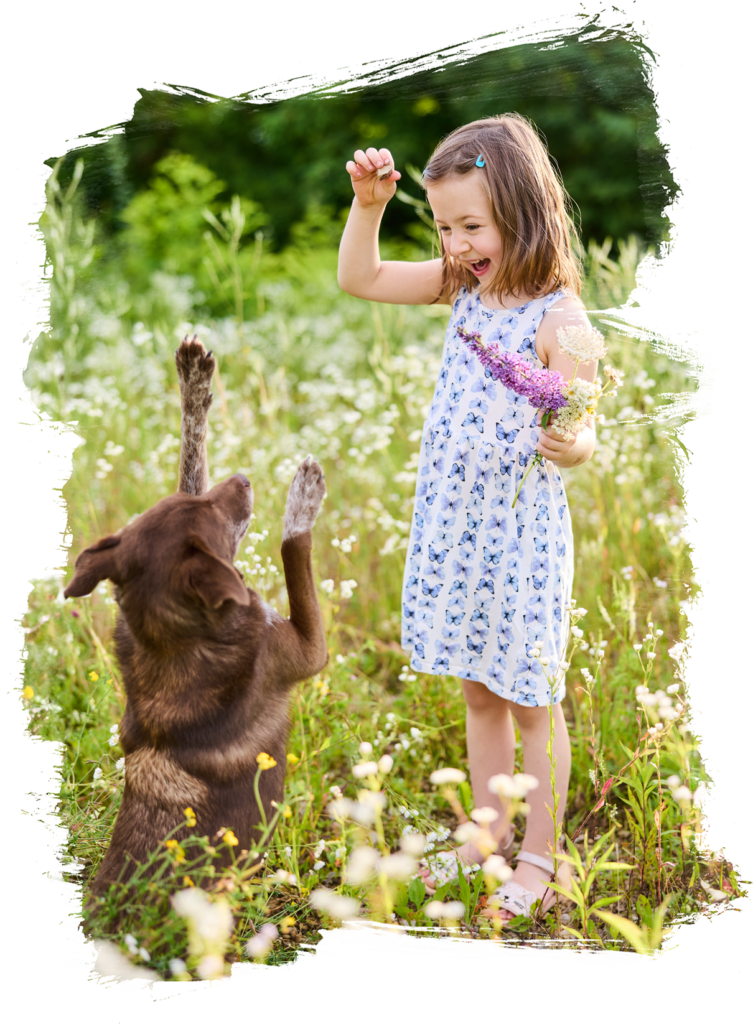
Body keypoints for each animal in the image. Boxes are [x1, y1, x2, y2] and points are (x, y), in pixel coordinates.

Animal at [67, 337, 329, 905]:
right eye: (219, 515)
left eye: (201, 503)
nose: (245, 479)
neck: (181, 641)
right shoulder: (303, 651)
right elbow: (293, 547)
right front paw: (303, 496)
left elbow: (190, 458)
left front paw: (194, 383)